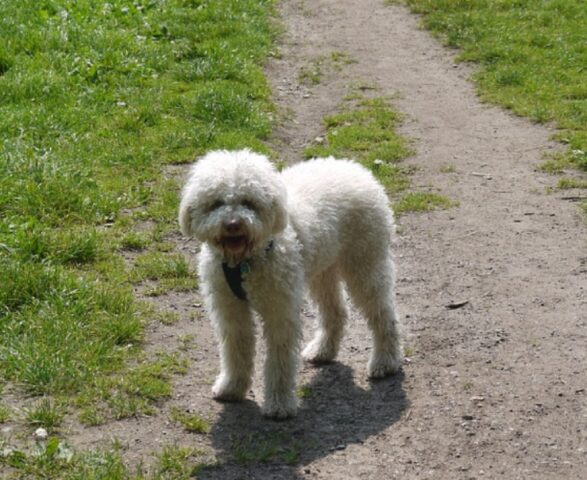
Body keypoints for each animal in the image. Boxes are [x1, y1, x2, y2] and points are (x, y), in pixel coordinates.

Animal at [179, 150, 404, 420]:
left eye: (248, 202)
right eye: (217, 203)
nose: (233, 224)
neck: (244, 263)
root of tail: (357, 169)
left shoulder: (280, 311)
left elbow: (280, 360)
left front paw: (279, 404)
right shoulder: (229, 311)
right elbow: (235, 350)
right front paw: (231, 388)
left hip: (365, 265)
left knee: (383, 314)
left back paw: (385, 362)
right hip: (322, 271)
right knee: (336, 312)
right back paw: (322, 350)